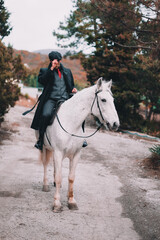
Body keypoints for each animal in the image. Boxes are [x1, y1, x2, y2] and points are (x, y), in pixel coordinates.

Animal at [38, 77, 119, 212]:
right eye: (103, 100)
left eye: (113, 100)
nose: (115, 124)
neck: (71, 123)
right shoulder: (58, 152)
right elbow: (59, 177)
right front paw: (57, 204)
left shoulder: (76, 154)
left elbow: (71, 177)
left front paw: (71, 201)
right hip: (44, 147)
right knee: (45, 164)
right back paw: (45, 185)